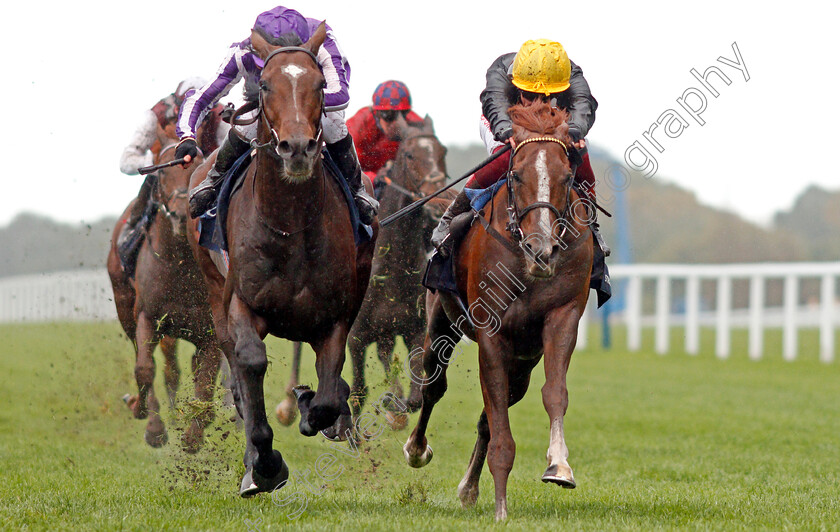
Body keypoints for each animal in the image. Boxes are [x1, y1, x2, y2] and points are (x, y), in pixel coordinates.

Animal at [106, 136, 225, 448]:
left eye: (197, 171)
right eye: (161, 174)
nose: (182, 215)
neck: (179, 265)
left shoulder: (212, 331)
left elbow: (206, 376)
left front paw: (194, 434)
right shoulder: (148, 318)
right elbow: (144, 369)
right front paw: (154, 427)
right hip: (125, 307)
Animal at [190, 23, 378, 498]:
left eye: (320, 85)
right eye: (266, 85)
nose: (296, 148)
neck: (292, 225)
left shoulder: (334, 314)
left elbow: (329, 391)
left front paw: (313, 408)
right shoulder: (240, 302)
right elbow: (251, 363)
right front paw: (266, 464)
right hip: (213, 289)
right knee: (238, 372)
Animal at [274, 117, 452, 428]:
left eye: (442, 152)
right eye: (409, 155)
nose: (438, 204)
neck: (393, 267)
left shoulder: (414, 331)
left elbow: (415, 395)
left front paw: (395, 405)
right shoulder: (356, 337)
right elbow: (358, 391)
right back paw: (288, 403)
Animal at [404, 100, 592, 520]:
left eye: (566, 176)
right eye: (517, 175)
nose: (542, 251)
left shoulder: (562, 317)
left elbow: (554, 393)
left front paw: (559, 465)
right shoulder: (491, 331)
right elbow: (495, 422)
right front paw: (501, 508)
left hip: (523, 360)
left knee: (491, 414)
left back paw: (469, 488)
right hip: (440, 322)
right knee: (433, 385)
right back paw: (416, 449)